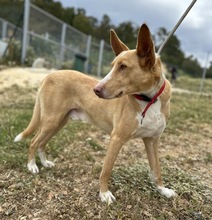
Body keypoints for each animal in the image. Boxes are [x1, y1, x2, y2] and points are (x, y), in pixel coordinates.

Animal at [14, 24, 176, 205]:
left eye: (123, 67)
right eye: (113, 66)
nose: (96, 90)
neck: (150, 99)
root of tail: (50, 74)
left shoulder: (152, 141)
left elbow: (157, 170)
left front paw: (163, 190)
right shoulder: (116, 138)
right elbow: (106, 170)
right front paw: (104, 194)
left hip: (58, 123)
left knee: (41, 143)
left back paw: (44, 163)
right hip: (51, 121)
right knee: (34, 141)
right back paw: (31, 166)